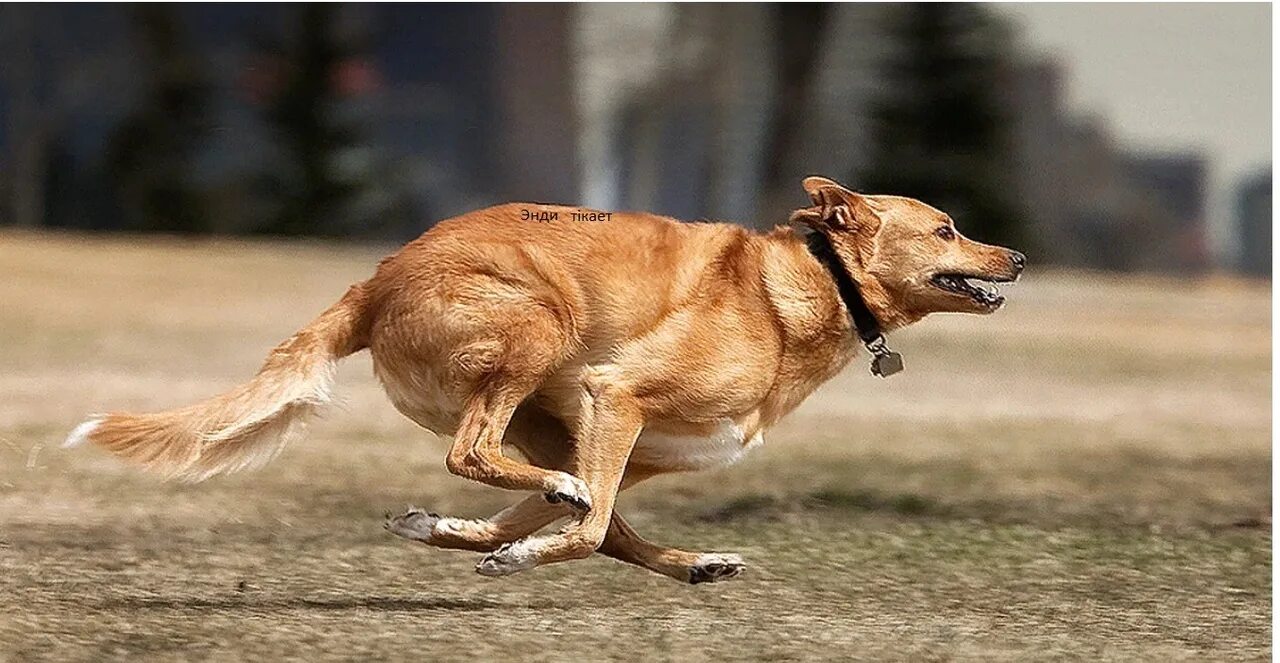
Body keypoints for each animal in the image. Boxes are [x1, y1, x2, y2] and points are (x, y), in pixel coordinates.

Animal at [67, 177, 1029, 588]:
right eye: (947, 228)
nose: (1017, 257)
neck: (810, 284)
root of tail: (377, 279)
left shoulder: (622, 439)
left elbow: (583, 522)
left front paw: (479, 539)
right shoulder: (616, 396)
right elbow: (586, 522)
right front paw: (519, 552)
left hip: (545, 413)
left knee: (551, 495)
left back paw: (681, 560)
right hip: (542, 326)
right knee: (477, 455)